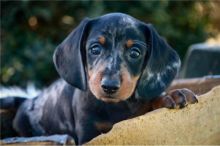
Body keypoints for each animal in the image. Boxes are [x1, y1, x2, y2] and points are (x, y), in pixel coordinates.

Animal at [1, 12, 198, 145]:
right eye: (95, 48)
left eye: (135, 53)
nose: (109, 86)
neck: (115, 107)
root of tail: (28, 100)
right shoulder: (88, 132)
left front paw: (172, 95)